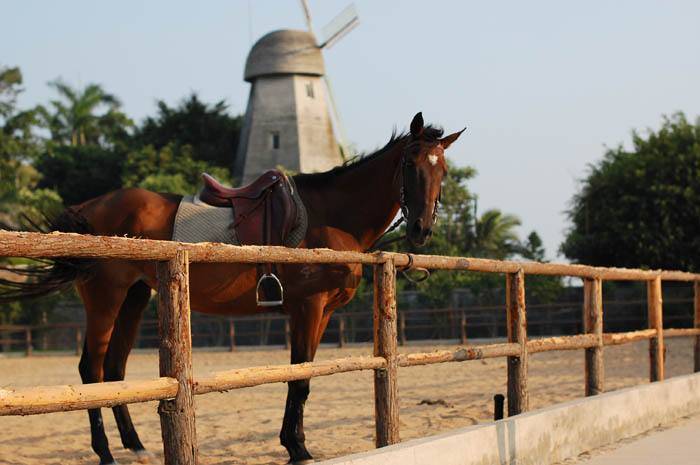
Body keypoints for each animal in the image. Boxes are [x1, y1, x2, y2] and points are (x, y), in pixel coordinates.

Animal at [4, 112, 464, 464]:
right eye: (411, 165)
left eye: (442, 170)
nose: (422, 229)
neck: (329, 216)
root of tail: (90, 208)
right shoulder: (309, 307)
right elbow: (299, 377)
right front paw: (297, 448)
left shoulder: (323, 313)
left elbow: (303, 376)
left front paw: (294, 443)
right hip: (106, 298)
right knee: (92, 370)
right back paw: (105, 453)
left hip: (135, 297)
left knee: (115, 369)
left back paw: (135, 445)